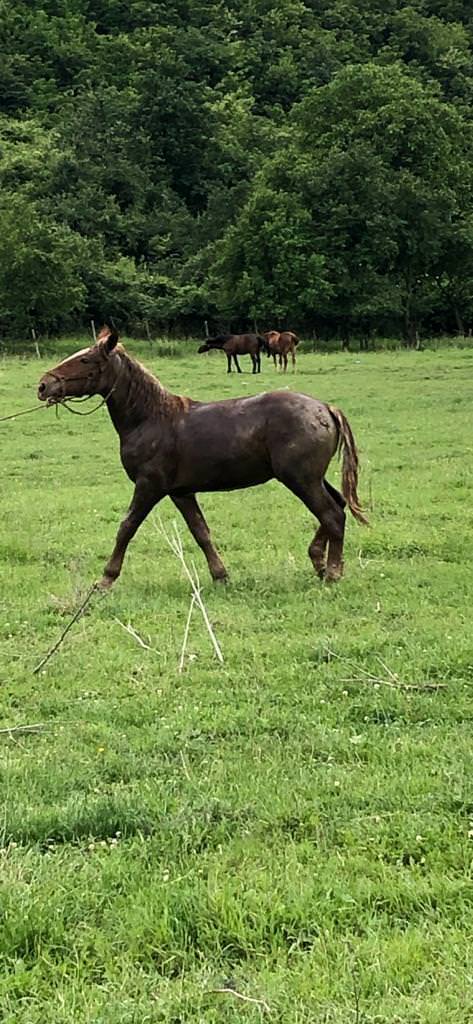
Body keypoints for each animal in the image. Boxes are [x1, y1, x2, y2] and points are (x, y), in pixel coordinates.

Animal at [36, 323, 368, 589]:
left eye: (85, 359)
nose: (43, 385)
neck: (151, 418)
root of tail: (326, 408)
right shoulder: (181, 492)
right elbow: (201, 532)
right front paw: (220, 576)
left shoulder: (149, 486)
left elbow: (126, 527)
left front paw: (106, 579)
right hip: (312, 477)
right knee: (337, 505)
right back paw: (318, 561)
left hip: (300, 479)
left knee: (332, 514)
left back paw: (332, 572)